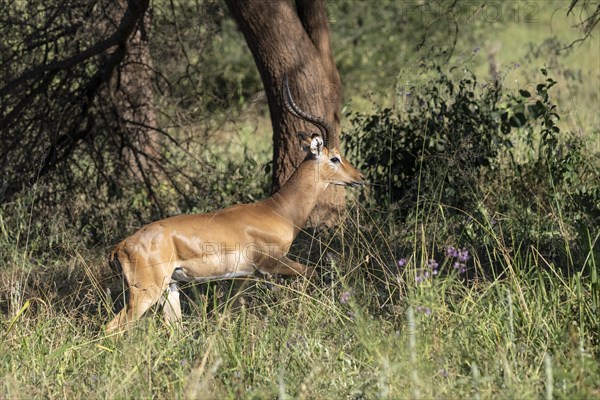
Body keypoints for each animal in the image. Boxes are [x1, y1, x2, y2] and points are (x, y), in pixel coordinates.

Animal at [105, 75, 364, 332]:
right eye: (335, 158)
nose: (360, 178)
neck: (278, 210)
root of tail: (120, 246)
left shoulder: (245, 276)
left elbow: (231, 309)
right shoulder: (273, 264)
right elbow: (312, 272)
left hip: (170, 288)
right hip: (146, 293)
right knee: (112, 328)